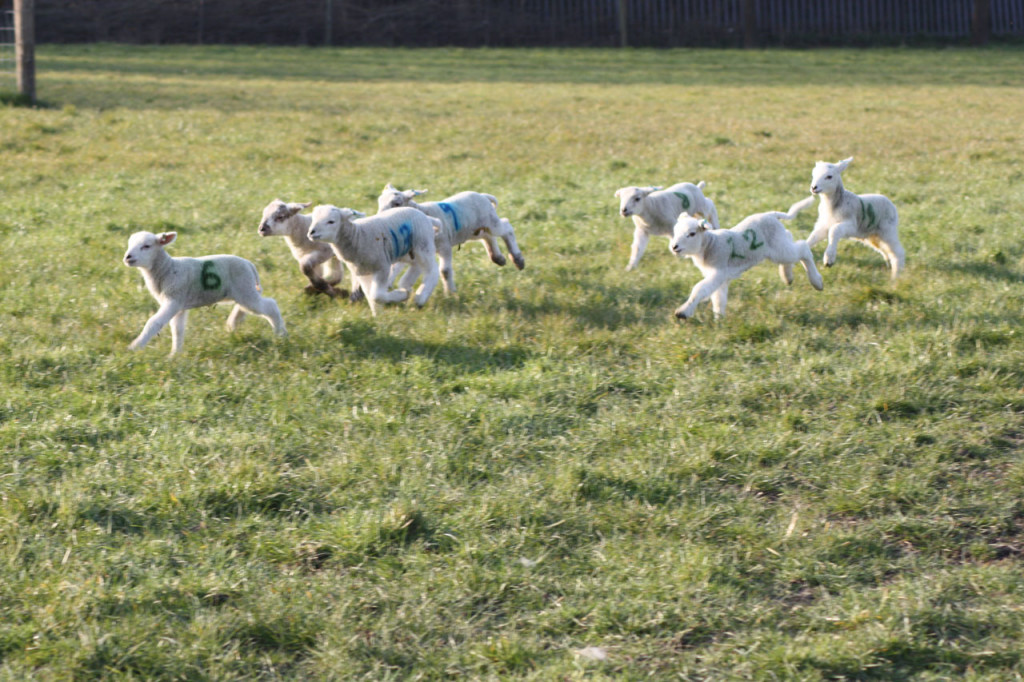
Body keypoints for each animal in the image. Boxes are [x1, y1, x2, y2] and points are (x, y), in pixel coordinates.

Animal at [307, 204, 444, 315]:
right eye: (313, 219)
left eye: (331, 221)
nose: (311, 232)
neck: (357, 236)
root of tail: (427, 218)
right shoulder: (363, 272)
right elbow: (370, 295)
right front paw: (378, 316)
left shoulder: (382, 267)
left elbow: (376, 295)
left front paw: (401, 295)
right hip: (408, 252)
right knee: (416, 265)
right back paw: (406, 286)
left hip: (423, 245)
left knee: (432, 271)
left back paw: (420, 297)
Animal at [374, 183, 524, 292]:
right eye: (379, 201)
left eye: (397, 203)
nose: (380, 218)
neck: (423, 212)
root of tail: (483, 195)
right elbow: (394, 268)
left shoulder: (444, 245)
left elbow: (445, 271)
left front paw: (450, 293)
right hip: (474, 230)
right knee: (488, 237)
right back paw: (498, 258)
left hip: (491, 221)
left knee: (507, 227)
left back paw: (517, 259)